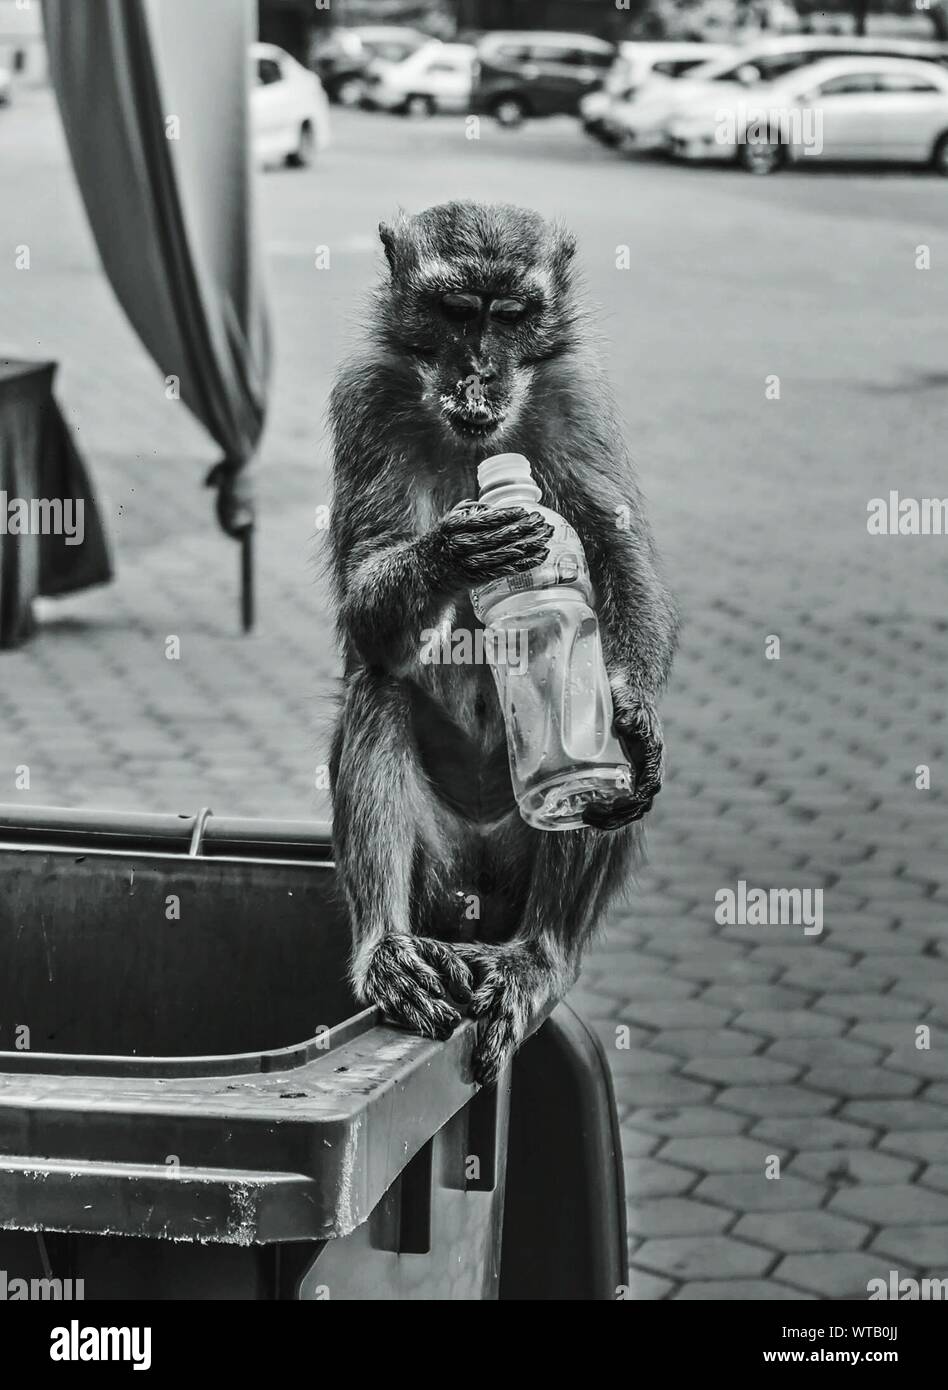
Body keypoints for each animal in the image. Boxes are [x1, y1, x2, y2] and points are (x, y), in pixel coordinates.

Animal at [327, 201, 678, 1085]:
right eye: (457, 311)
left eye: (512, 315)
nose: (479, 373)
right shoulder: (365, 395)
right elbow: (366, 609)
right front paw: (454, 551)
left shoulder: (577, 393)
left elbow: (616, 553)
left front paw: (627, 712)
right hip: (442, 876)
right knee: (380, 688)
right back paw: (390, 948)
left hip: (520, 869)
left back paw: (539, 955)